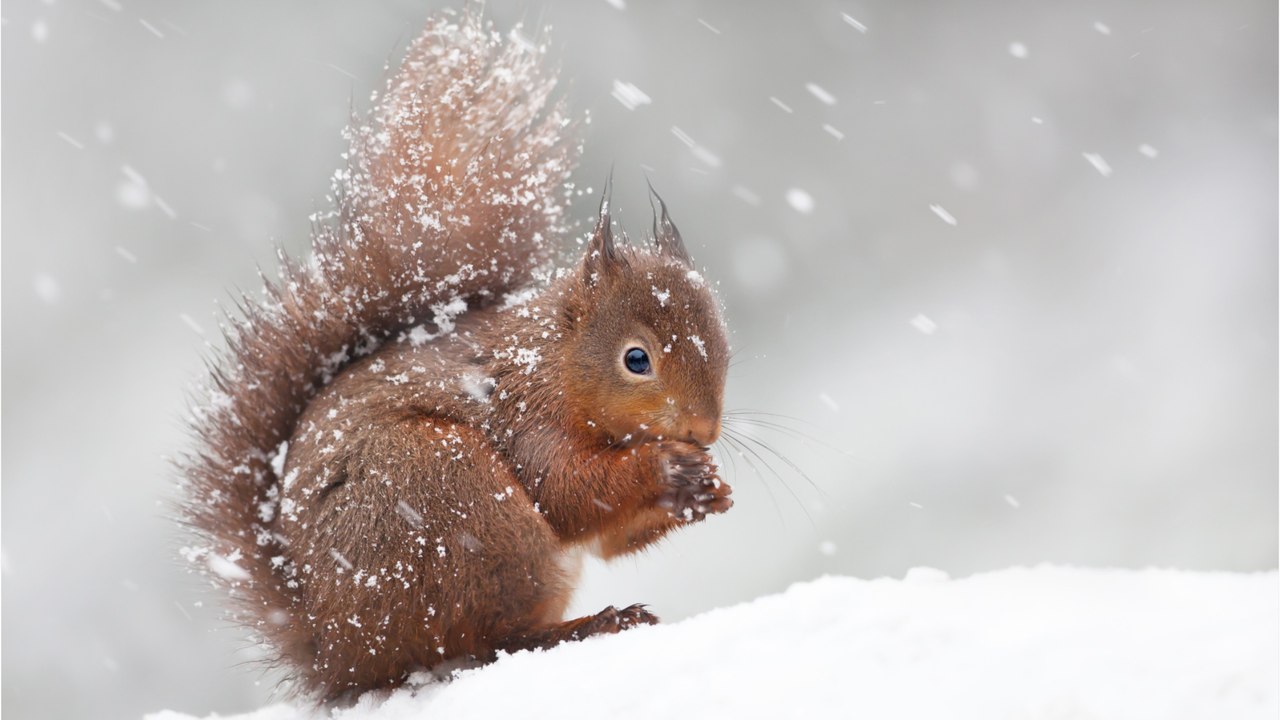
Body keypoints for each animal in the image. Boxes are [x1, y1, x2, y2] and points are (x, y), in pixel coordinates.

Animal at [180, 12, 732, 702]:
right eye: (637, 360)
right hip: (455, 500)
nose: (703, 431)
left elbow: (609, 539)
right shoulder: (525, 416)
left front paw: (709, 488)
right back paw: (593, 624)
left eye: (725, 342)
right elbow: (570, 493)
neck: (553, 363)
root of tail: (339, 655)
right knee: (493, 640)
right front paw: (669, 469)